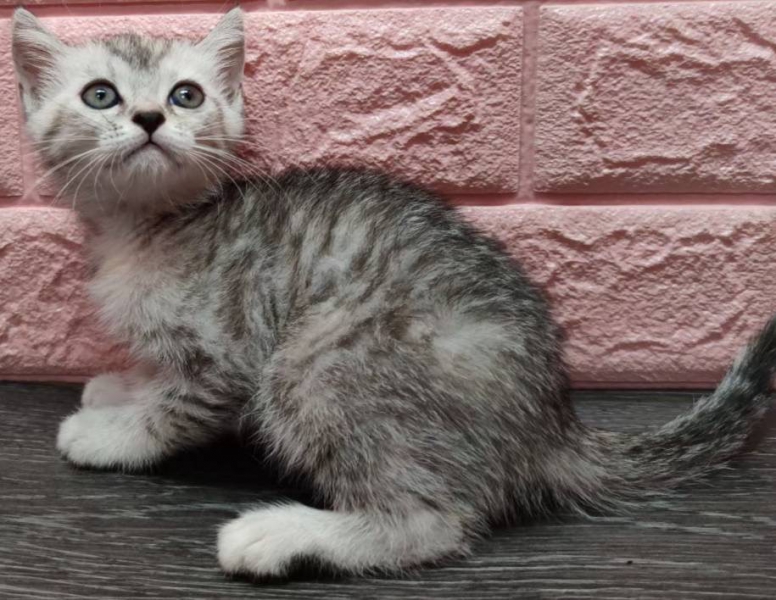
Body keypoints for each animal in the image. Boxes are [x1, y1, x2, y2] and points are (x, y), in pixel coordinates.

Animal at [12, 7, 776, 579]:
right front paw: (118, 388)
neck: (146, 227)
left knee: (433, 522)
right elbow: (156, 377)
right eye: (102, 94)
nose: (150, 119)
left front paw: (111, 433)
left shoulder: (228, 354)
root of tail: (551, 423)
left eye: (186, 95)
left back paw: (282, 537)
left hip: (321, 357)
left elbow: (173, 412)